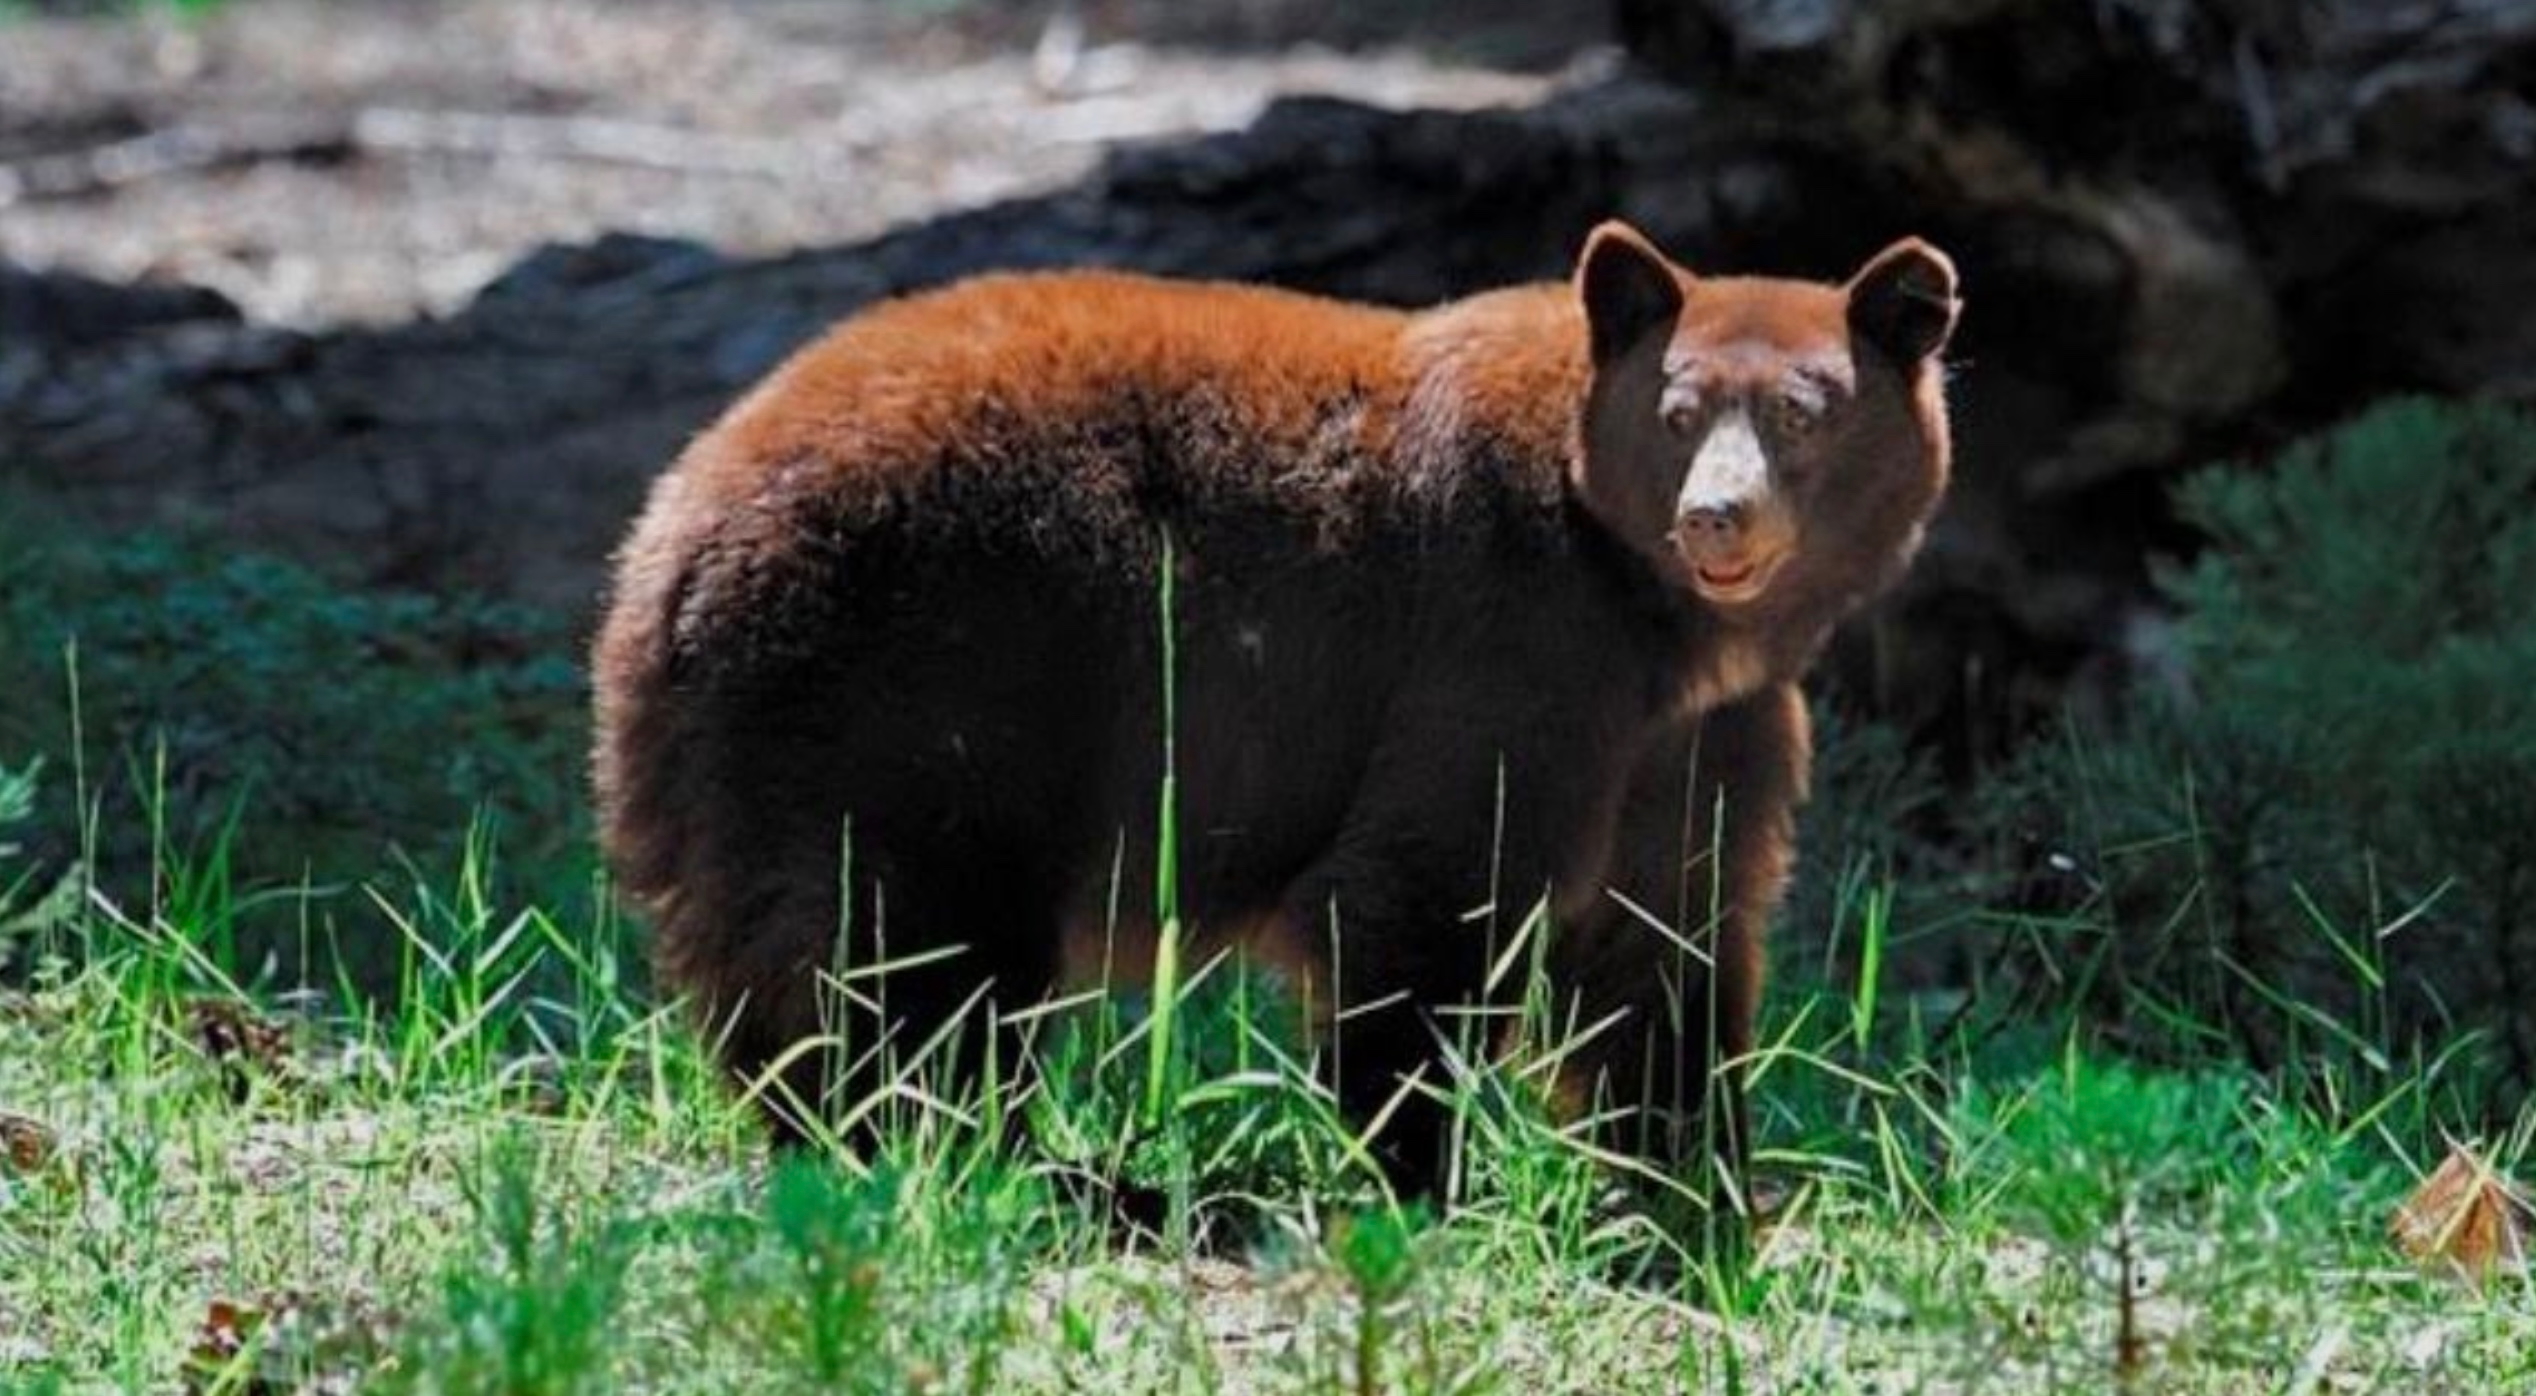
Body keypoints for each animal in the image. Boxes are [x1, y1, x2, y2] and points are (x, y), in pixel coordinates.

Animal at [591, 220, 1958, 1200]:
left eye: (1800, 413)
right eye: (1676, 416)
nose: (1716, 518)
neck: (1653, 619)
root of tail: (665, 540)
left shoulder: (1694, 734)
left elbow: (1665, 944)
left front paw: (1703, 1192)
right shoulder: (1510, 649)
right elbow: (1421, 897)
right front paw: (1417, 1178)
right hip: (920, 686)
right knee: (908, 959)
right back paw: (1019, 1166)